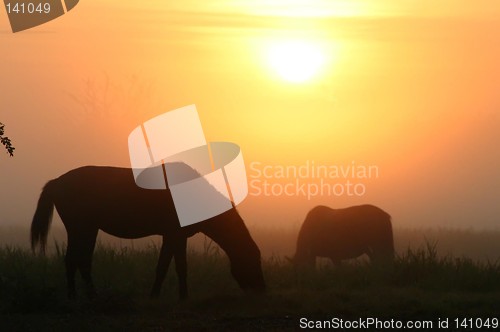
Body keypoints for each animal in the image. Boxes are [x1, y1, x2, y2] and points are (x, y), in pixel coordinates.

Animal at [30, 165, 266, 300]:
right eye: (254, 260)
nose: (261, 290)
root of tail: (56, 182)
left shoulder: (172, 236)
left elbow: (168, 266)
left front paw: (163, 294)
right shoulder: (175, 235)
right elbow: (175, 266)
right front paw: (177, 296)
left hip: (86, 229)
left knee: (79, 260)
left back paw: (86, 294)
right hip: (81, 228)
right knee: (75, 260)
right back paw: (77, 295)